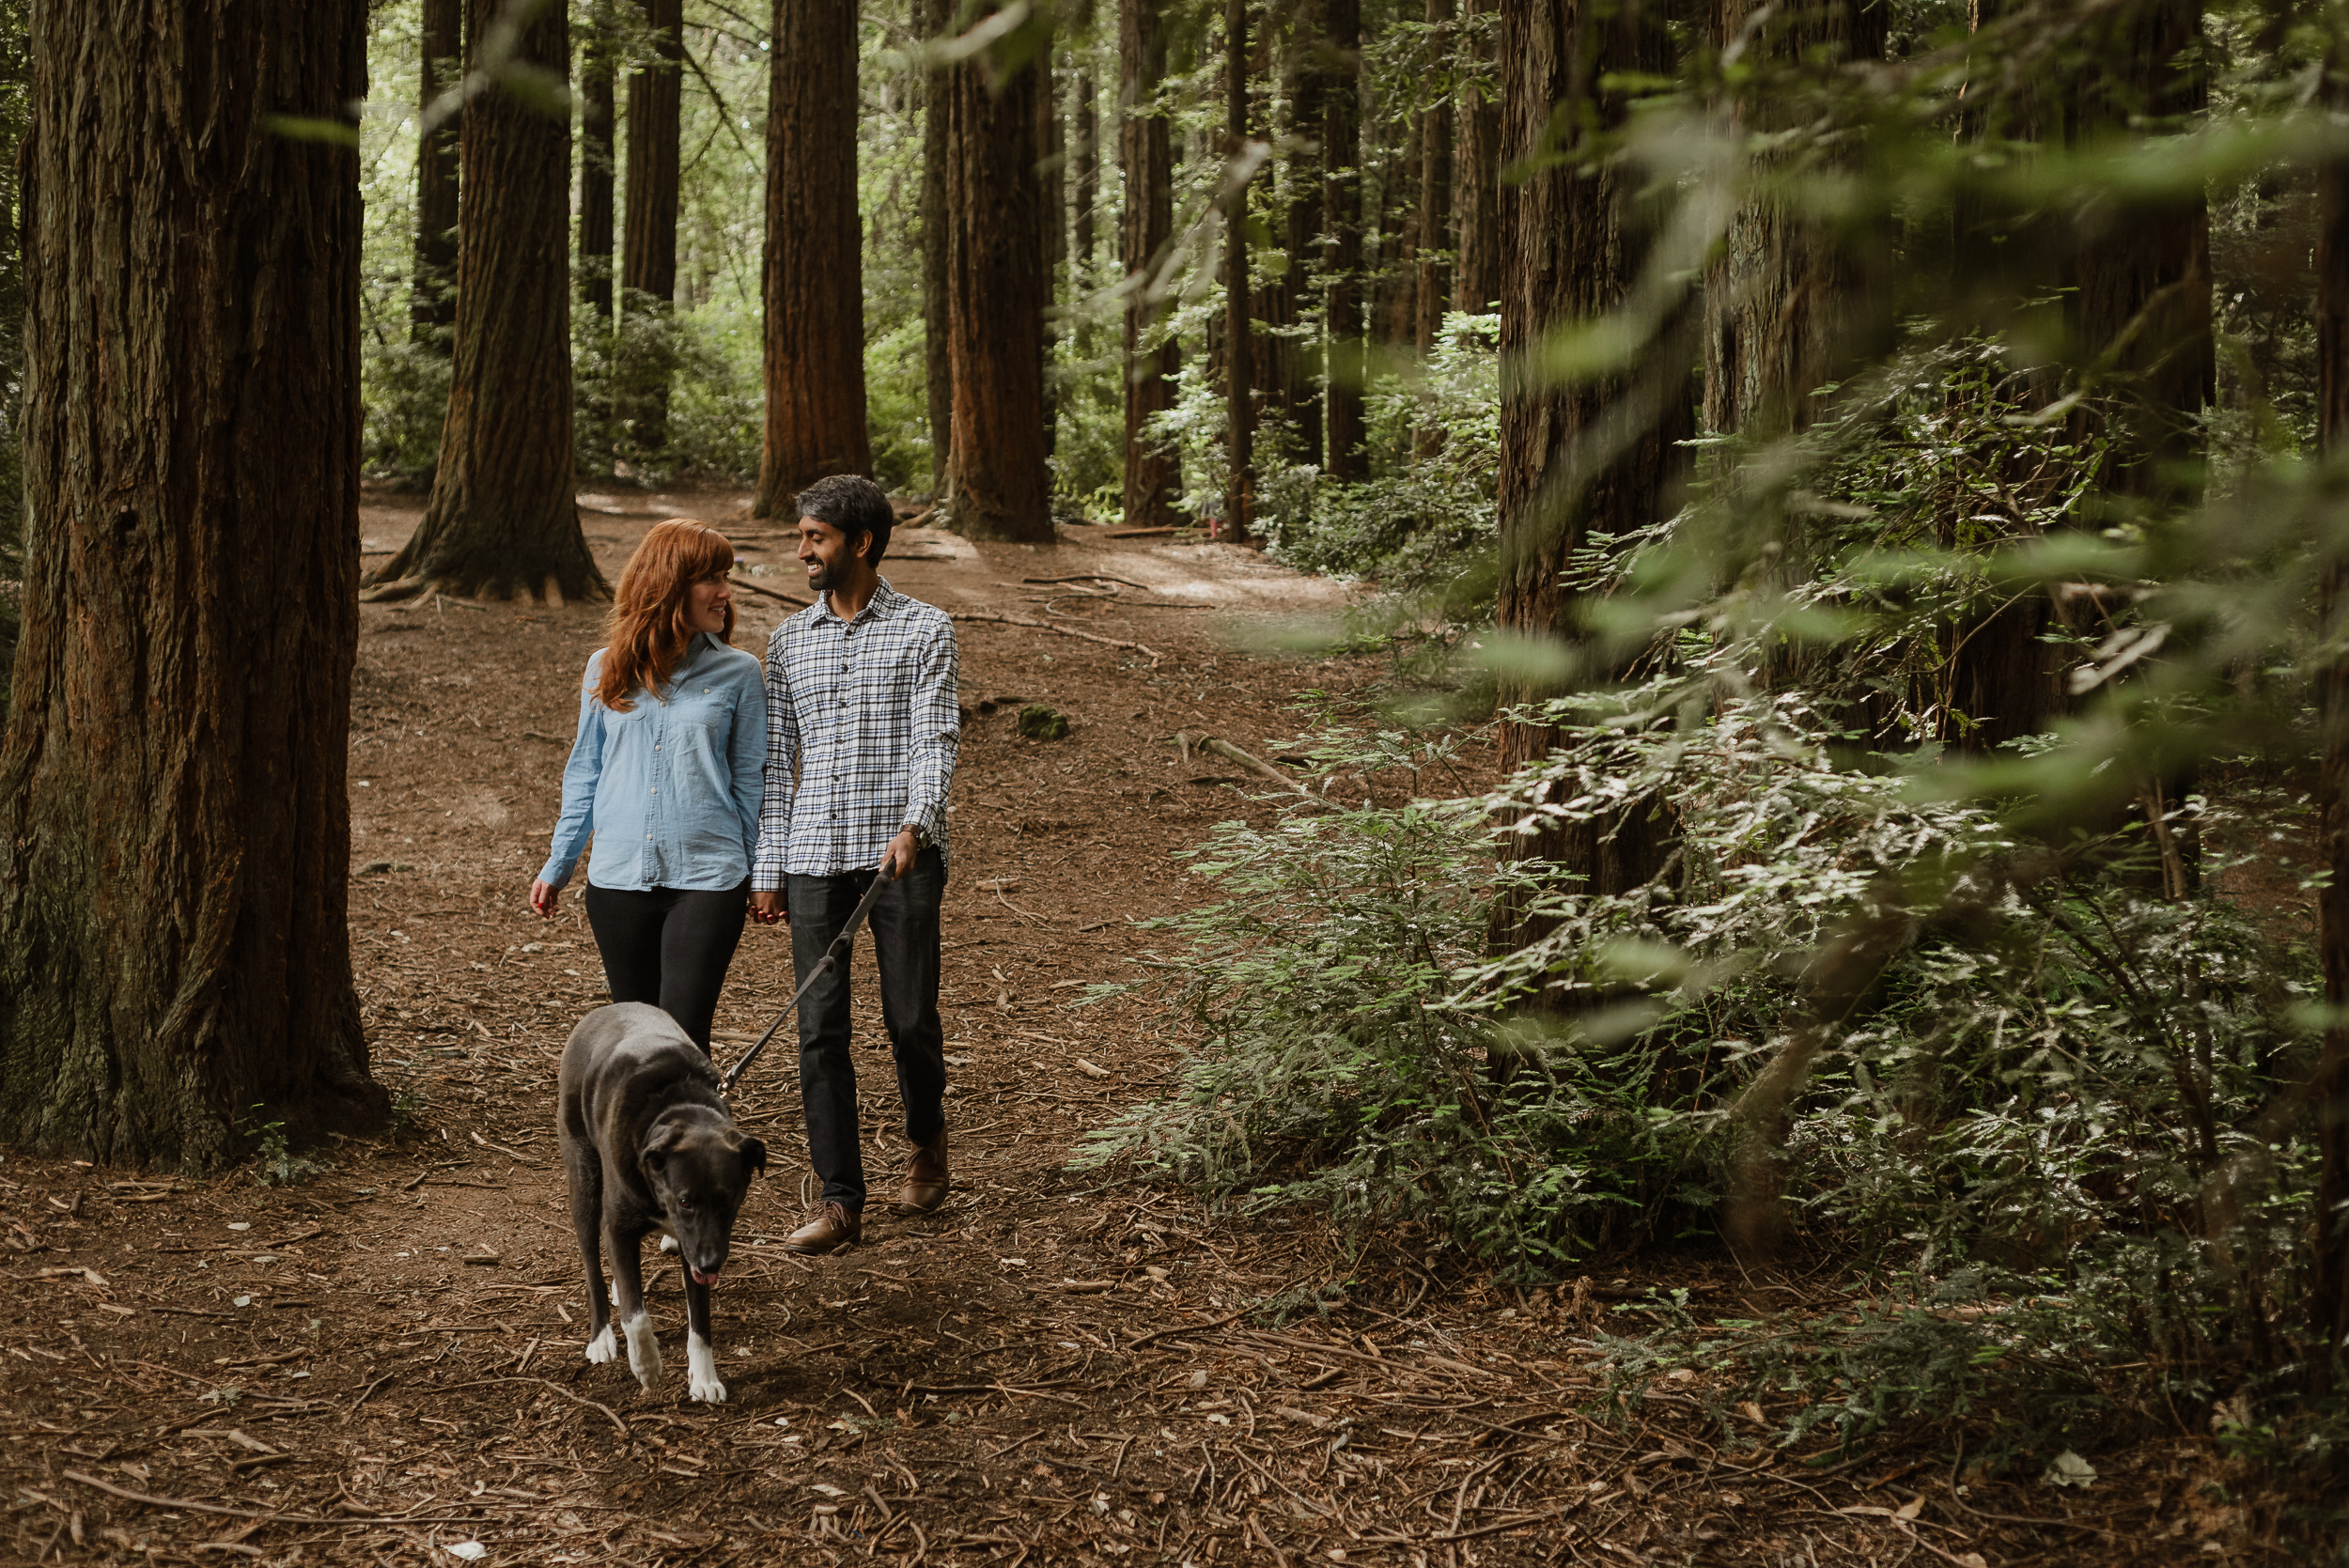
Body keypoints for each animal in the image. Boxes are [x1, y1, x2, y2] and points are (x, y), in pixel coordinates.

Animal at [554, 1004, 766, 1408]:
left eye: (728, 1200)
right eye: (685, 1201)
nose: (711, 1264)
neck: (677, 1109)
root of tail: (601, 1010)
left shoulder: (695, 1245)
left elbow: (700, 1319)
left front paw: (704, 1378)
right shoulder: (618, 1230)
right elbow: (636, 1317)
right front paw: (647, 1365)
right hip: (583, 1181)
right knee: (592, 1266)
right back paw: (601, 1337)